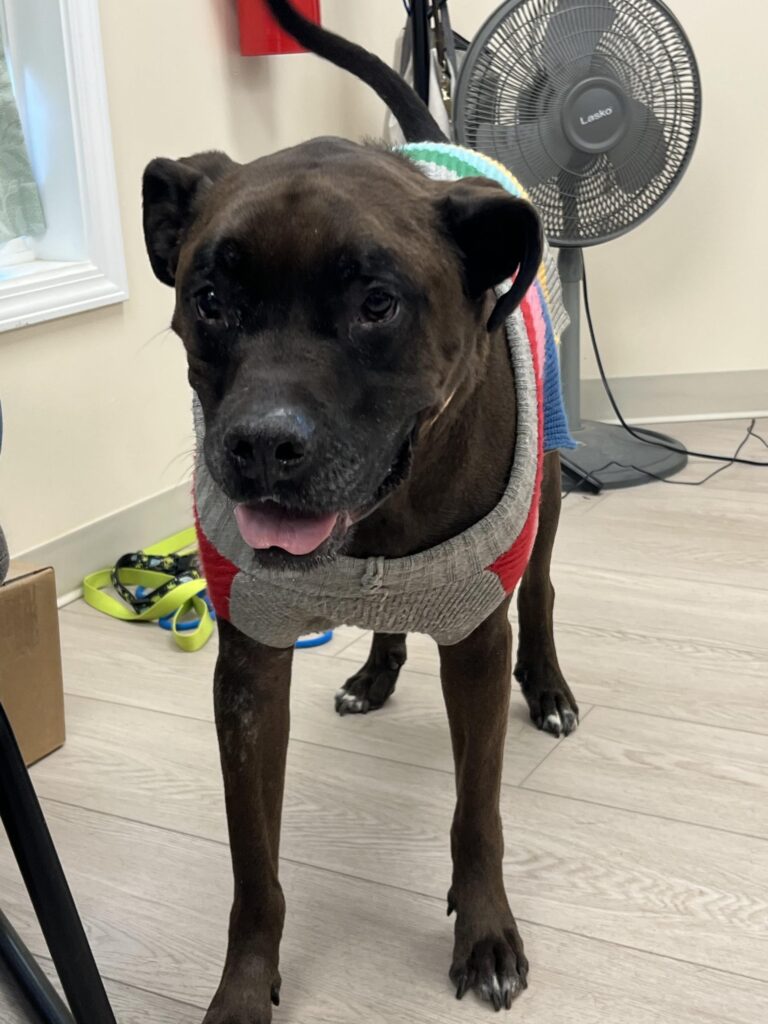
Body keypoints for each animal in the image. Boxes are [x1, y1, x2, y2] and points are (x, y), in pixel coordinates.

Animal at [142, 1, 579, 1019]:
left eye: (378, 303)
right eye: (208, 297)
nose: (263, 445)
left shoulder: (475, 638)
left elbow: (478, 813)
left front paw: (485, 931)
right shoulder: (250, 665)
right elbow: (254, 870)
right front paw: (243, 986)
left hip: (547, 497)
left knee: (540, 594)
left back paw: (548, 687)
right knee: (391, 623)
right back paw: (374, 672)